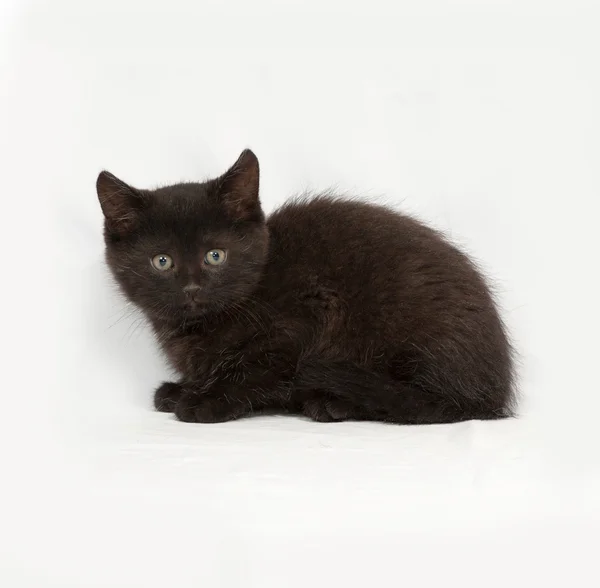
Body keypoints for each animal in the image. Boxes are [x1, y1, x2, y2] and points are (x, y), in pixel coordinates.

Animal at [96, 150, 512, 422]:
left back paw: (333, 404)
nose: (192, 289)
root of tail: (497, 391)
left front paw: (205, 400)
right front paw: (184, 388)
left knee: (437, 406)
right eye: (162, 261)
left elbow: (260, 371)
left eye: (215, 255)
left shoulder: (310, 313)